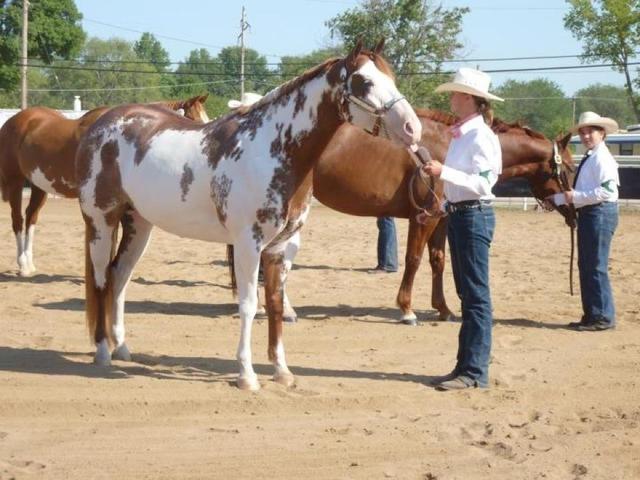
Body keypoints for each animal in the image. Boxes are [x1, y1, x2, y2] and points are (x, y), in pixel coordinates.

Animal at [0, 94, 210, 276]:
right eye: (194, 119)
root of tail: (14, 121)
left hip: (39, 185)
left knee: (31, 217)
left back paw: (30, 264)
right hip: (15, 180)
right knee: (18, 220)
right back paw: (23, 266)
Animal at [75, 41, 422, 391]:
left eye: (392, 76)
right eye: (364, 81)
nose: (413, 128)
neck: (273, 149)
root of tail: (102, 123)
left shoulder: (281, 247)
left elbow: (276, 304)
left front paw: (282, 370)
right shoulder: (248, 244)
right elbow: (249, 305)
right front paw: (247, 375)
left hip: (139, 224)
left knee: (120, 276)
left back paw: (122, 348)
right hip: (101, 221)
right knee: (102, 279)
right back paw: (103, 352)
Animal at [244, 108, 576, 324]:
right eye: (571, 167)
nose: (575, 211)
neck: (448, 151)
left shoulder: (442, 218)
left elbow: (438, 261)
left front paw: (443, 309)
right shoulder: (423, 217)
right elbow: (414, 259)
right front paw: (407, 310)